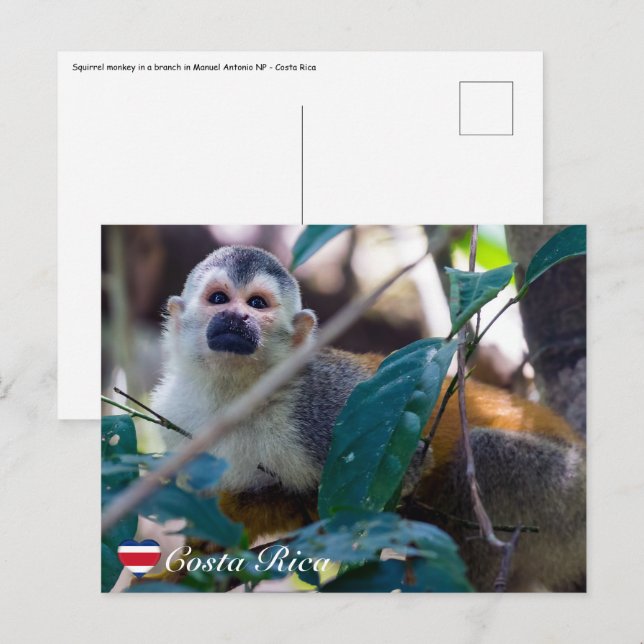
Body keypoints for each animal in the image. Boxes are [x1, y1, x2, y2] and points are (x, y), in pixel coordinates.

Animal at [150, 245, 586, 592]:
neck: (236, 394)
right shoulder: (177, 414)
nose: (237, 317)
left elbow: (379, 489)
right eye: (219, 298)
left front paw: (235, 516)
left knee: (483, 453)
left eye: (257, 304)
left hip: (565, 500)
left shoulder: (320, 403)